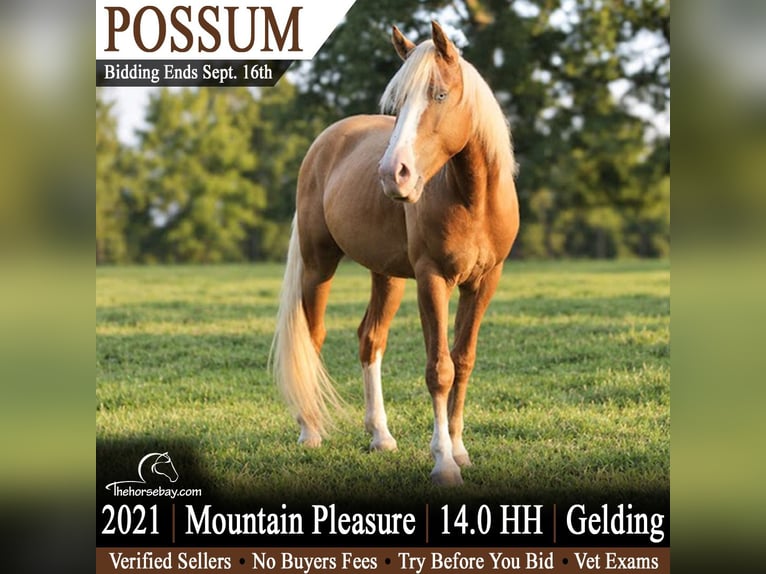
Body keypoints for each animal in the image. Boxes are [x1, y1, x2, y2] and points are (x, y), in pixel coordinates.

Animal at [272, 22, 519, 486]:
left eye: (439, 95)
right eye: (399, 103)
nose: (392, 174)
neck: (472, 199)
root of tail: (325, 142)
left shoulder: (483, 283)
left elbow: (463, 361)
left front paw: (459, 450)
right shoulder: (432, 279)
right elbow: (439, 369)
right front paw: (443, 462)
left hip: (386, 276)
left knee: (370, 339)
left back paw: (380, 436)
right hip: (318, 266)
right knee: (313, 339)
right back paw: (310, 430)